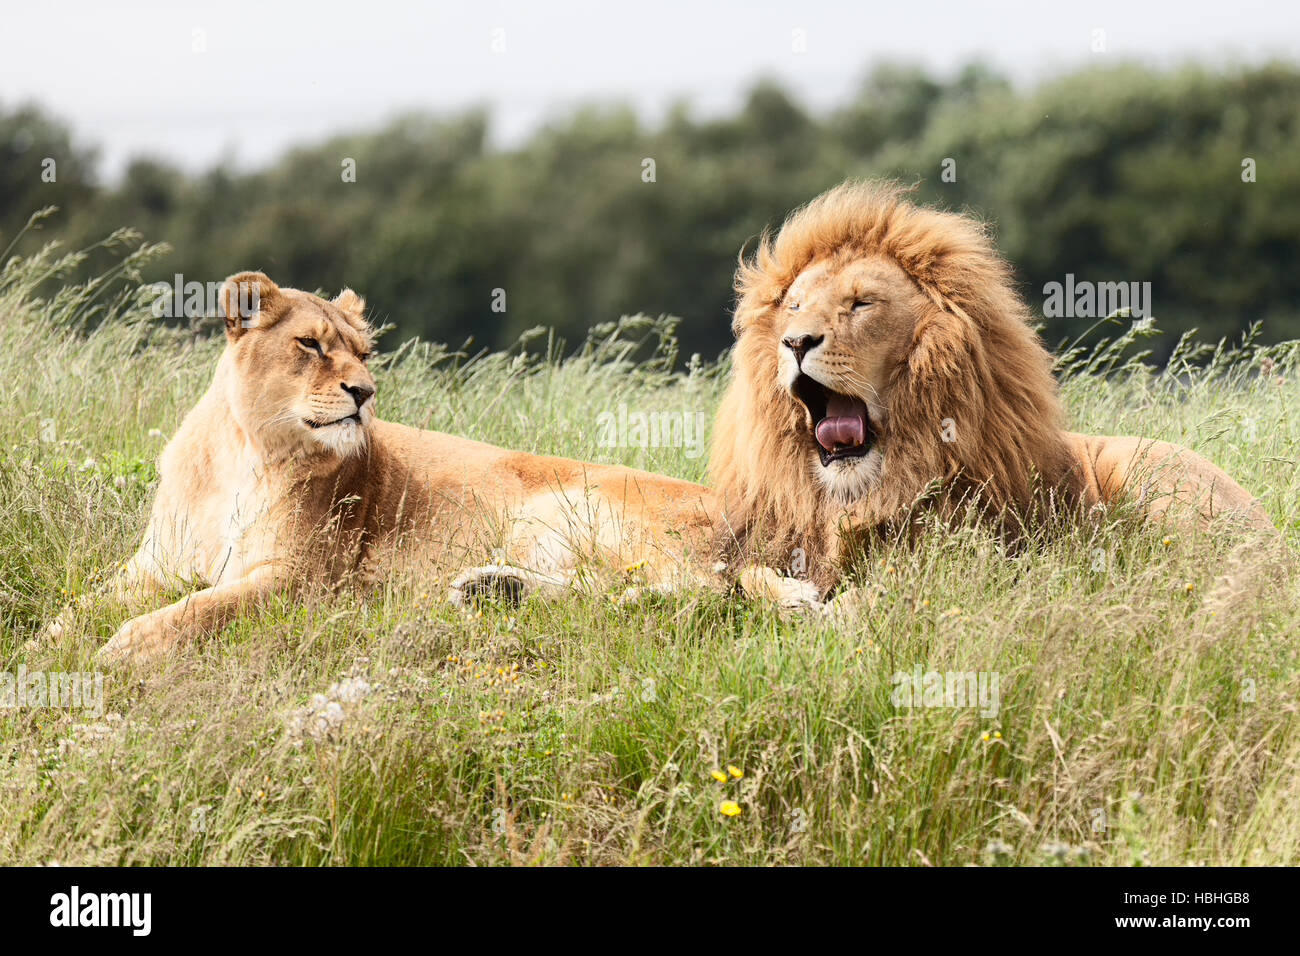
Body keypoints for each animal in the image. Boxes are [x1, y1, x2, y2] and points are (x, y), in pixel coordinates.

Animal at [48, 269, 722, 658]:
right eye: (310, 344)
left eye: (365, 353)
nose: (364, 392)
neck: (246, 453)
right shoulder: (154, 564)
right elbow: (81, 605)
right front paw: (48, 644)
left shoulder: (302, 577)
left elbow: (199, 610)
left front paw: (122, 649)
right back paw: (492, 591)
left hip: (568, 502)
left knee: (687, 594)